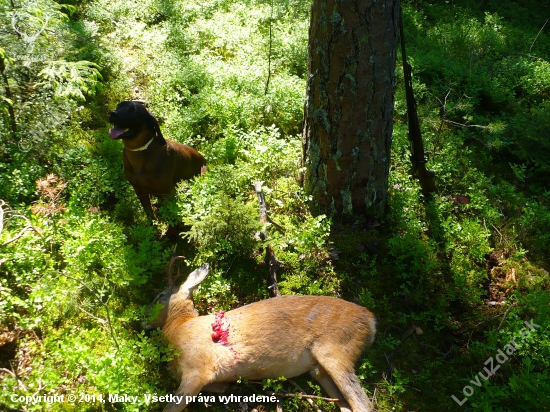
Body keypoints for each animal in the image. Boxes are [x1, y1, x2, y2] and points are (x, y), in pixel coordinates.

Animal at [146, 260, 380, 410]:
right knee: (346, 405)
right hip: (320, 369)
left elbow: (170, 408)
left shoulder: (197, 370)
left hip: (336, 349)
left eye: (160, 296)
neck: (179, 328)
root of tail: (370, 321)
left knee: (363, 404)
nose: (143, 319)